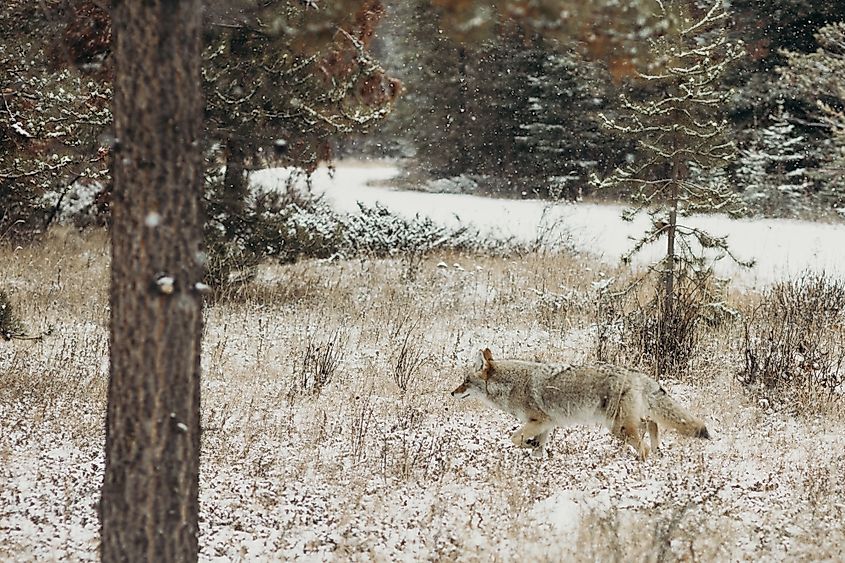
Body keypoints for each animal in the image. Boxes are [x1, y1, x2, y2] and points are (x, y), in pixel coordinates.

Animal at [451, 348, 709, 460]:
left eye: (465, 381)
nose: (452, 392)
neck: (513, 384)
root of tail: (638, 375)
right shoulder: (546, 424)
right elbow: (535, 446)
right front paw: (537, 457)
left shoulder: (539, 421)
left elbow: (515, 438)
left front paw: (530, 446)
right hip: (622, 425)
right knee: (652, 425)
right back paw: (658, 451)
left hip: (618, 428)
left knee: (644, 442)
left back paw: (644, 460)